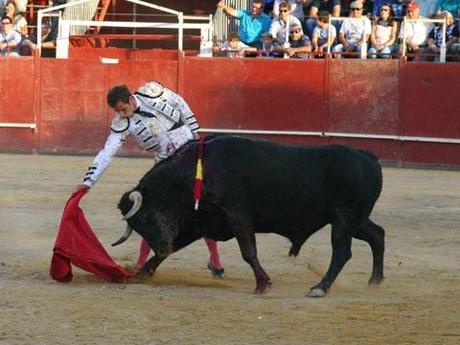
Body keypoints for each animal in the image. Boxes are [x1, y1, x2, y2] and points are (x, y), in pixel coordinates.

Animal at [114, 134, 384, 296]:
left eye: (144, 218)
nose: (160, 246)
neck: (199, 171)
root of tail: (367, 156)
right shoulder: (200, 223)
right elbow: (175, 247)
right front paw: (142, 272)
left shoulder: (238, 217)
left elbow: (248, 251)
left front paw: (263, 283)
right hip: (355, 220)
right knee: (377, 235)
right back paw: (375, 280)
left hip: (344, 219)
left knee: (342, 252)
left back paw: (320, 287)